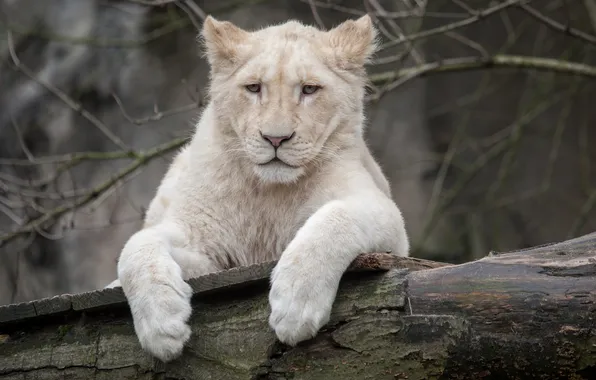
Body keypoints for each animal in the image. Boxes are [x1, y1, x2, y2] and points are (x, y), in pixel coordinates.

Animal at [108, 14, 410, 362]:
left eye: (309, 89)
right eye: (253, 87)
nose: (275, 138)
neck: (267, 192)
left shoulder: (387, 219)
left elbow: (334, 219)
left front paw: (295, 302)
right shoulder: (208, 252)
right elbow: (136, 246)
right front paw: (161, 326)